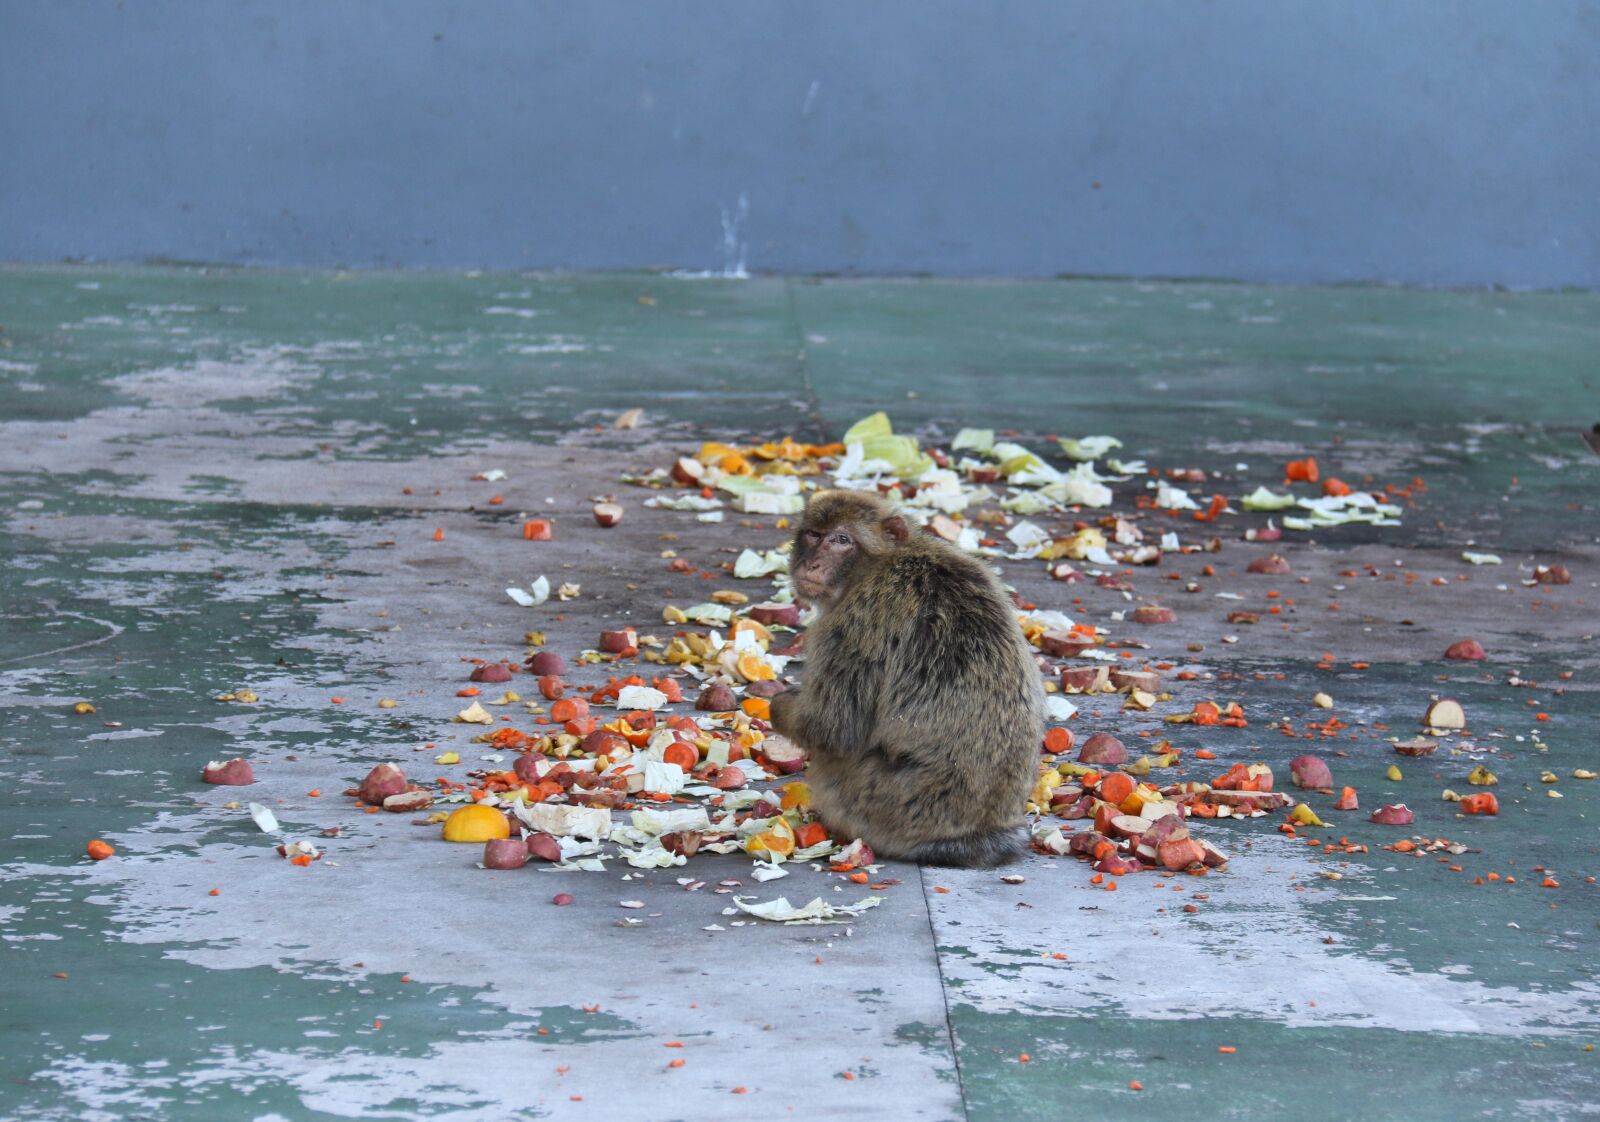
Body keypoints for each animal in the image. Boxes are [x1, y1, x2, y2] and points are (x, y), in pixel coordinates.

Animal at [769, 489, 1045, 867]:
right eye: (813, 534)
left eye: (841, 540)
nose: (811, 564)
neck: (882, 562)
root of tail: (980, 832)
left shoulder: (855, 622)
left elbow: (833, 729)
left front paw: (778, 705)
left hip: (876, 801)